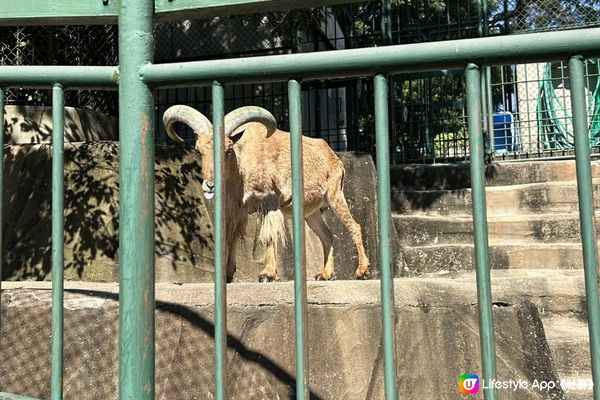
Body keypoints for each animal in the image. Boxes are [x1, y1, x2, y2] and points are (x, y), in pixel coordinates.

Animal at [164, 104, 370, 282]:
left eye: (228, 150)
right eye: (199, 151)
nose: (210, 185)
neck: (241, 168)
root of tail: (334, 156)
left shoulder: (269, 202)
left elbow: (269, 236)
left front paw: (267, 274)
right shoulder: (237, 211)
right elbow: (232, 237)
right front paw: (228, 274)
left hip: (335, 195)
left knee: (354, 226)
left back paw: (362, 270)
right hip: (311, 213)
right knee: (327, 235)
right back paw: (325, 274)